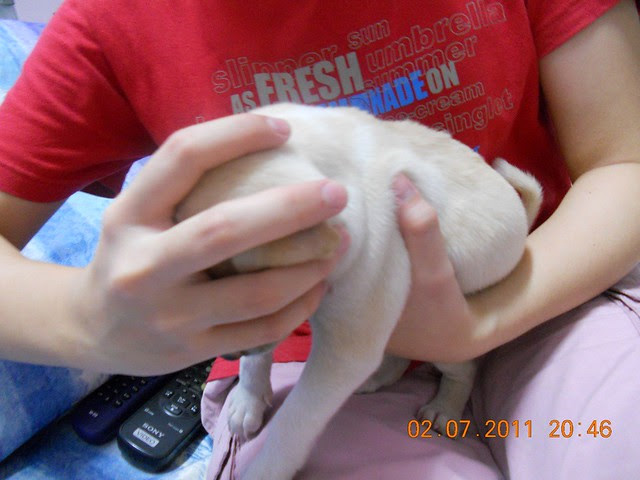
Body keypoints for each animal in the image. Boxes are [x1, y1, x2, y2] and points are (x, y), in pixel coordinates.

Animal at [175, 103, 542, 480]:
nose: (228, 354)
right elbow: (259, 357)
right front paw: (248, 399)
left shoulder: (343, 353)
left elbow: (296, 418)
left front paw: (266, 468)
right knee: (399, 359)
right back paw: (377, 377)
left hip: (444, 342)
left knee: (465, 369)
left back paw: (445, 408)